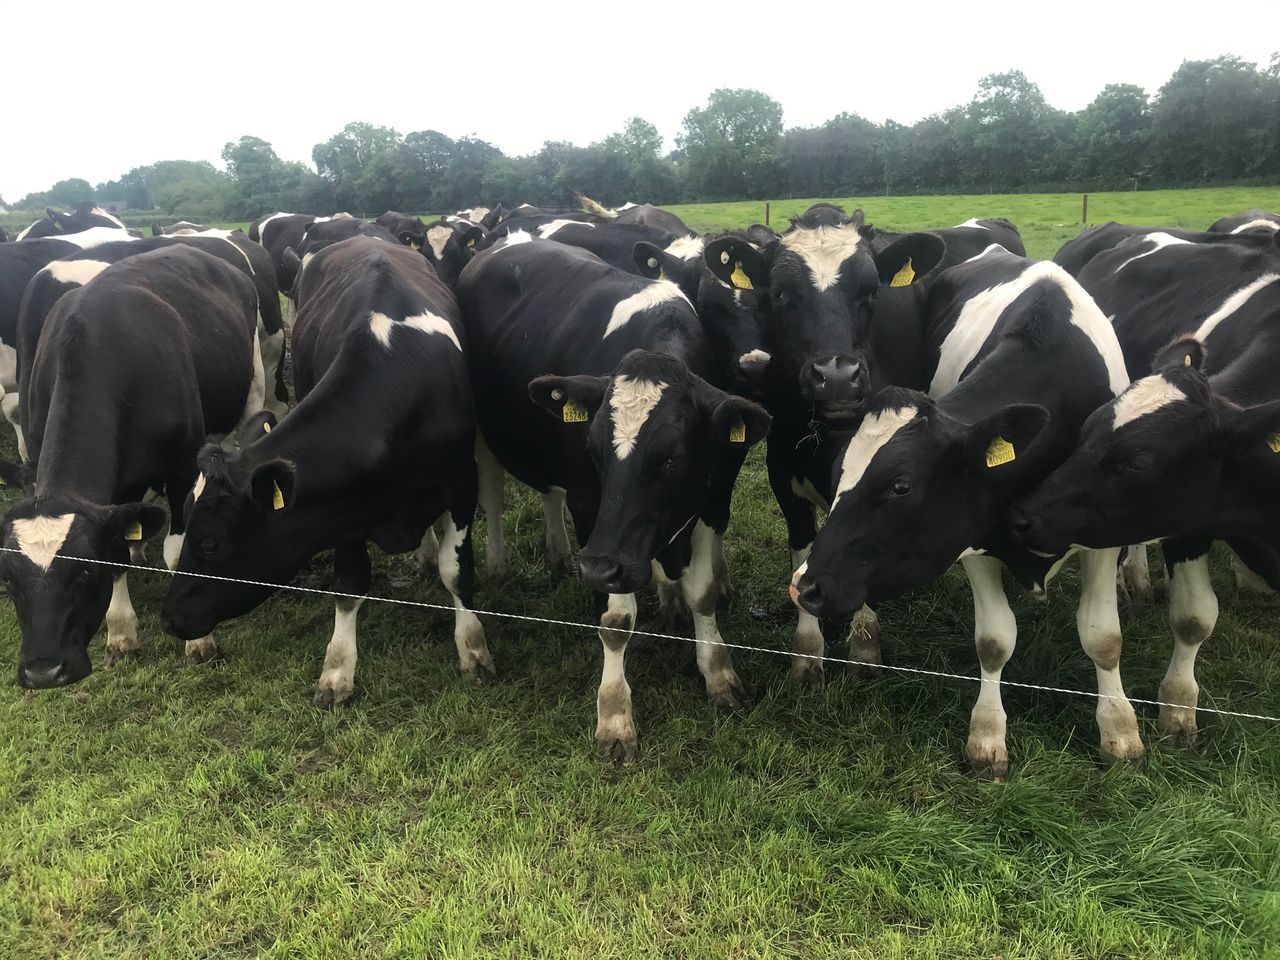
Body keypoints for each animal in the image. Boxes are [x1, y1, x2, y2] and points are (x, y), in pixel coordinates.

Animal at [0, 246, 264, 688]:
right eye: (8, 578)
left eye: (84, 573)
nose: (43, 671)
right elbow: (118, 551)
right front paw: (121, 632)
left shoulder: (181, 468)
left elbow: (177, 552)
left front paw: (199, 641)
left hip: (254, 382)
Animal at [161, 235, 492, 706]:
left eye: (209, 543)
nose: (170, 618)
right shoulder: (343, 510)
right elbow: (349, 583)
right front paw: (337, 671)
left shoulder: (463, 483)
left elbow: (457, 571)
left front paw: (473, 650)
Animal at [456, 233, 771, 760]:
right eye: (595, 449)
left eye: (671, 459)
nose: (595, 567)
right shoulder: (595, 513)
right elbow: (617, 619)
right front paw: (615, 715)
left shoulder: (712, 500)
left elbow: (703, 592)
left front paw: (719, 672)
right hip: (485, 432)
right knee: (494, 494)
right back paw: (501, 565)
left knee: (549, 493)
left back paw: (560, 556)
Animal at [789, 245, 1139, 778]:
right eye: (837, 471)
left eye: (900, 486)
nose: (804, 586)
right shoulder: (970, 535)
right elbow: (994, 639)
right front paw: (987, 738)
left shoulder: (1101, 538)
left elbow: (1103, 637)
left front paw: (1120, 731)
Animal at [1008, 231, 1280, 747]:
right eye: (1086, 429)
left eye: (1138, 463)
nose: (1025, 514)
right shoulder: (1189, 522)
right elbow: (1194, 616)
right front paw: (1178, 710)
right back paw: (1130, 580)